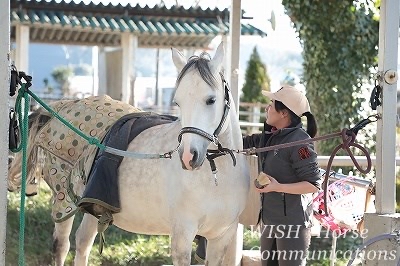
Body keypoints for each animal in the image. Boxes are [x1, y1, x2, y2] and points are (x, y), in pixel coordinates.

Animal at [7, 42, 248, 264]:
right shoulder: (182, 236)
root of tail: (62, 108)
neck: (215, 179)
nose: (189, 157)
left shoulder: (221, 238)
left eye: (211, 100)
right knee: (62, 246)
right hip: (64, 200)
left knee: (83, 242)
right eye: (178, 102)